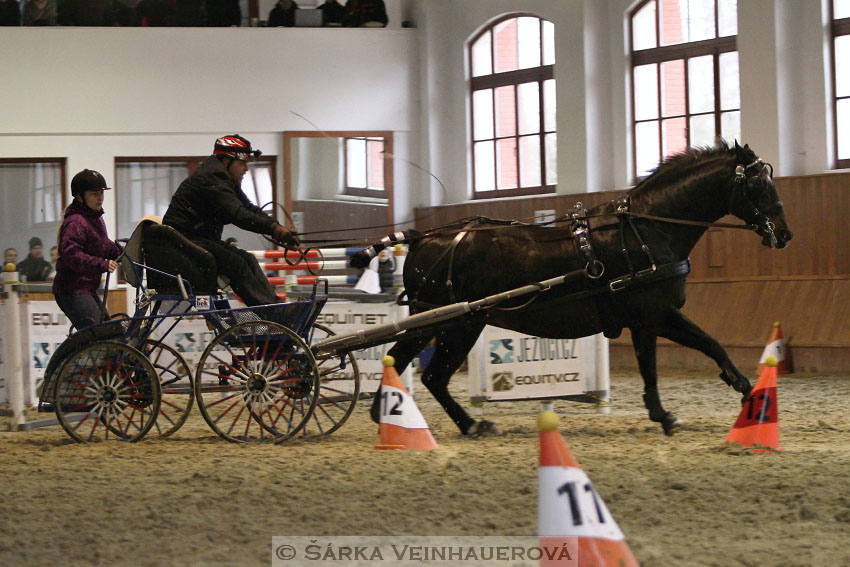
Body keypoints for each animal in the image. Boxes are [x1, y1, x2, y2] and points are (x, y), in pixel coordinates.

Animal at [350, 141, 788, 434]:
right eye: (758, 186)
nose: (785, 234)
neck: (646, 230)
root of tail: (425, 237)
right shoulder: (654, 314)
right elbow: (690, 350)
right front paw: (737, 394)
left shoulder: (649, 319)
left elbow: (676, 357)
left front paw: (712, 401)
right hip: (454, 324)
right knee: (426, 373)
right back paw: (467, 423)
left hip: (447, 323)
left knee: (406, 363)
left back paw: (397, 413)